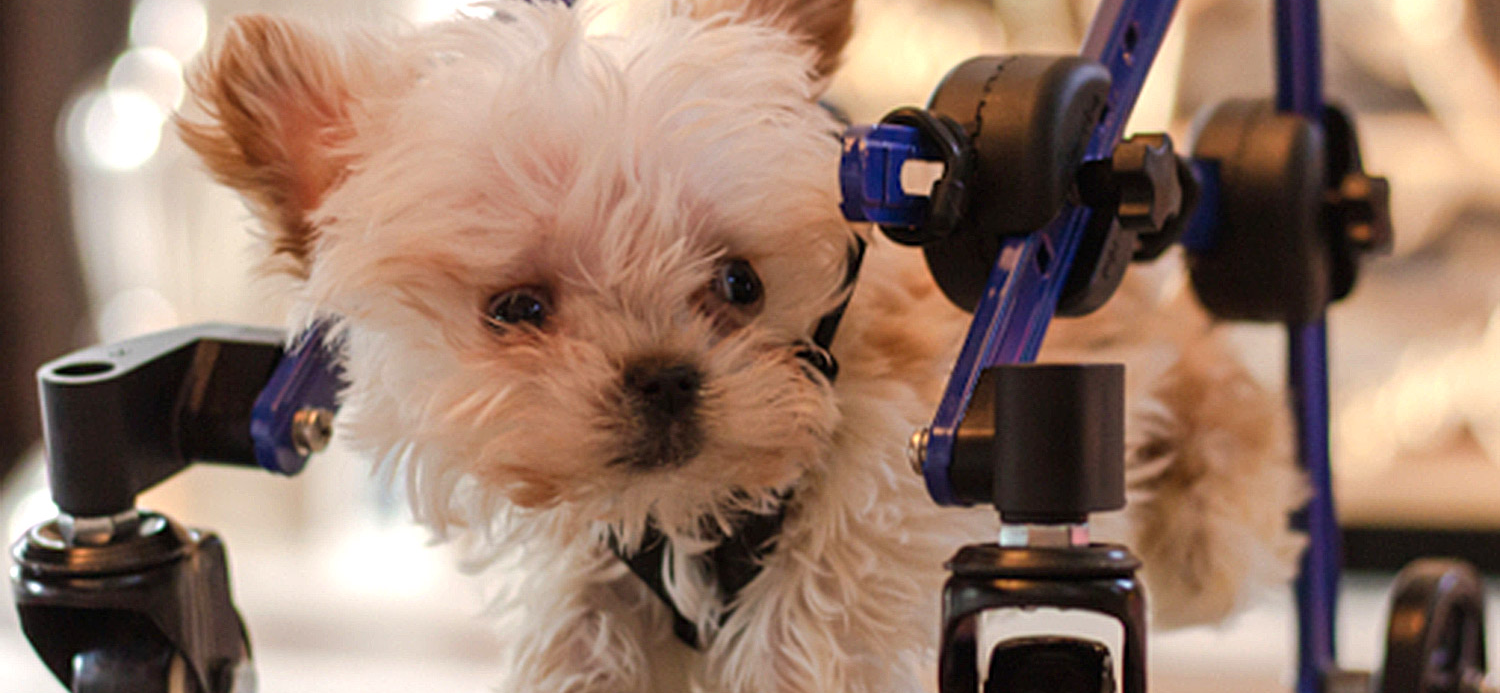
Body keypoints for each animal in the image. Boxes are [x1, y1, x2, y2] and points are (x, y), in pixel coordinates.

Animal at [172, 2, 1302, 690]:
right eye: (518, 307)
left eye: (739, 284)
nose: (666, 377)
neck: (693, 508)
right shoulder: (594, 563)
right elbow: (578, 629)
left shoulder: (904, 447)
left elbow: (826, 580)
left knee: (1221, 412)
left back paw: (1207, 536)